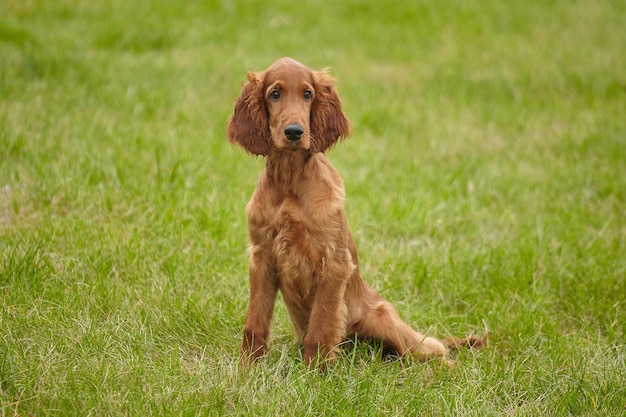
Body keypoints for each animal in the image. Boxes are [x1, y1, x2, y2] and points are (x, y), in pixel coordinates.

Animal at [227, 56, 480, 368]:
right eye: (275, 94)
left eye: (307, 94)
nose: (295, 132)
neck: (289, 183)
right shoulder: (262, 257)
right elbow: (255, 322)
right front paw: (248, 368)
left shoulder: (334, 263)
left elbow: (321, 327)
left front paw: (314, 372)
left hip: (385, 321)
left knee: (429, 348)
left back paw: (447, 368)